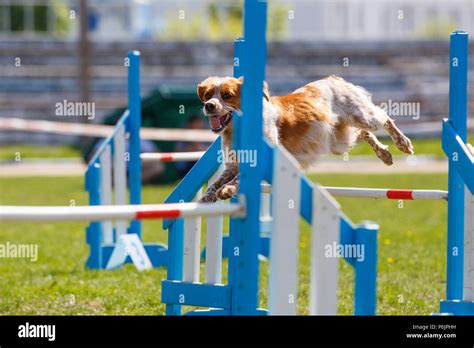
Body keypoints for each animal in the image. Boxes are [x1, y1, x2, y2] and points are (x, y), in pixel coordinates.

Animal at [196, 75, 412, 203]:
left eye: (227, 95)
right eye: (207, 94)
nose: (209, 105)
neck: (237, 130)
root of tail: (334, 78)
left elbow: (238, 179)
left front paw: (227, 190)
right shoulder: (232, 165)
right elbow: (215, 183)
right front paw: (206, 198)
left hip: (363, 117)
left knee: (384, 117)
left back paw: (403, 144)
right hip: (338, 141)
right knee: (362, 133)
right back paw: (384, 153)